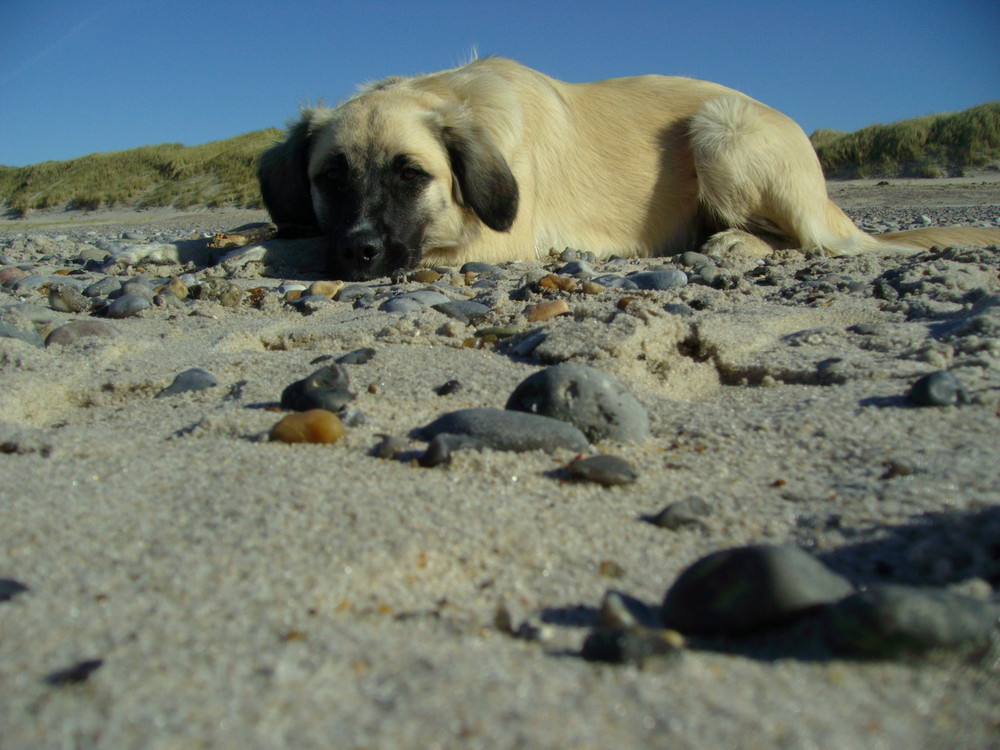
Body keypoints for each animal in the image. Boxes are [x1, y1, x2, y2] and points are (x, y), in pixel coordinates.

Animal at [260, 57, 1000, 282]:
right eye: (330, 178)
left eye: (412, 175)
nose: (358, 252)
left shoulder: (500, 239)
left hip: (721, 129)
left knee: (808, 241)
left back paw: (735, 242)